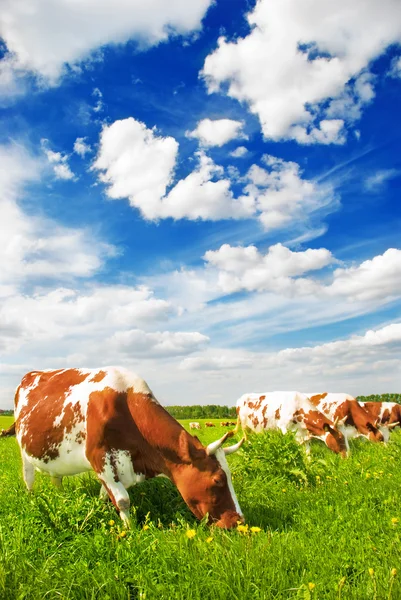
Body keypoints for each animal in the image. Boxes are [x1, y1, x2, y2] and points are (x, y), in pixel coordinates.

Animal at [11, 368, 244, 528]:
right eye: (218, 480)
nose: (239, 521)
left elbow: (106, 495)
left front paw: (102, 509)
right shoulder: (99, 457)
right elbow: (123, 500)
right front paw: (130, 530)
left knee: (56, 478)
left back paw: (61, 496)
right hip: (23, 449)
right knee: (28, 476)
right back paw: (32, 498)